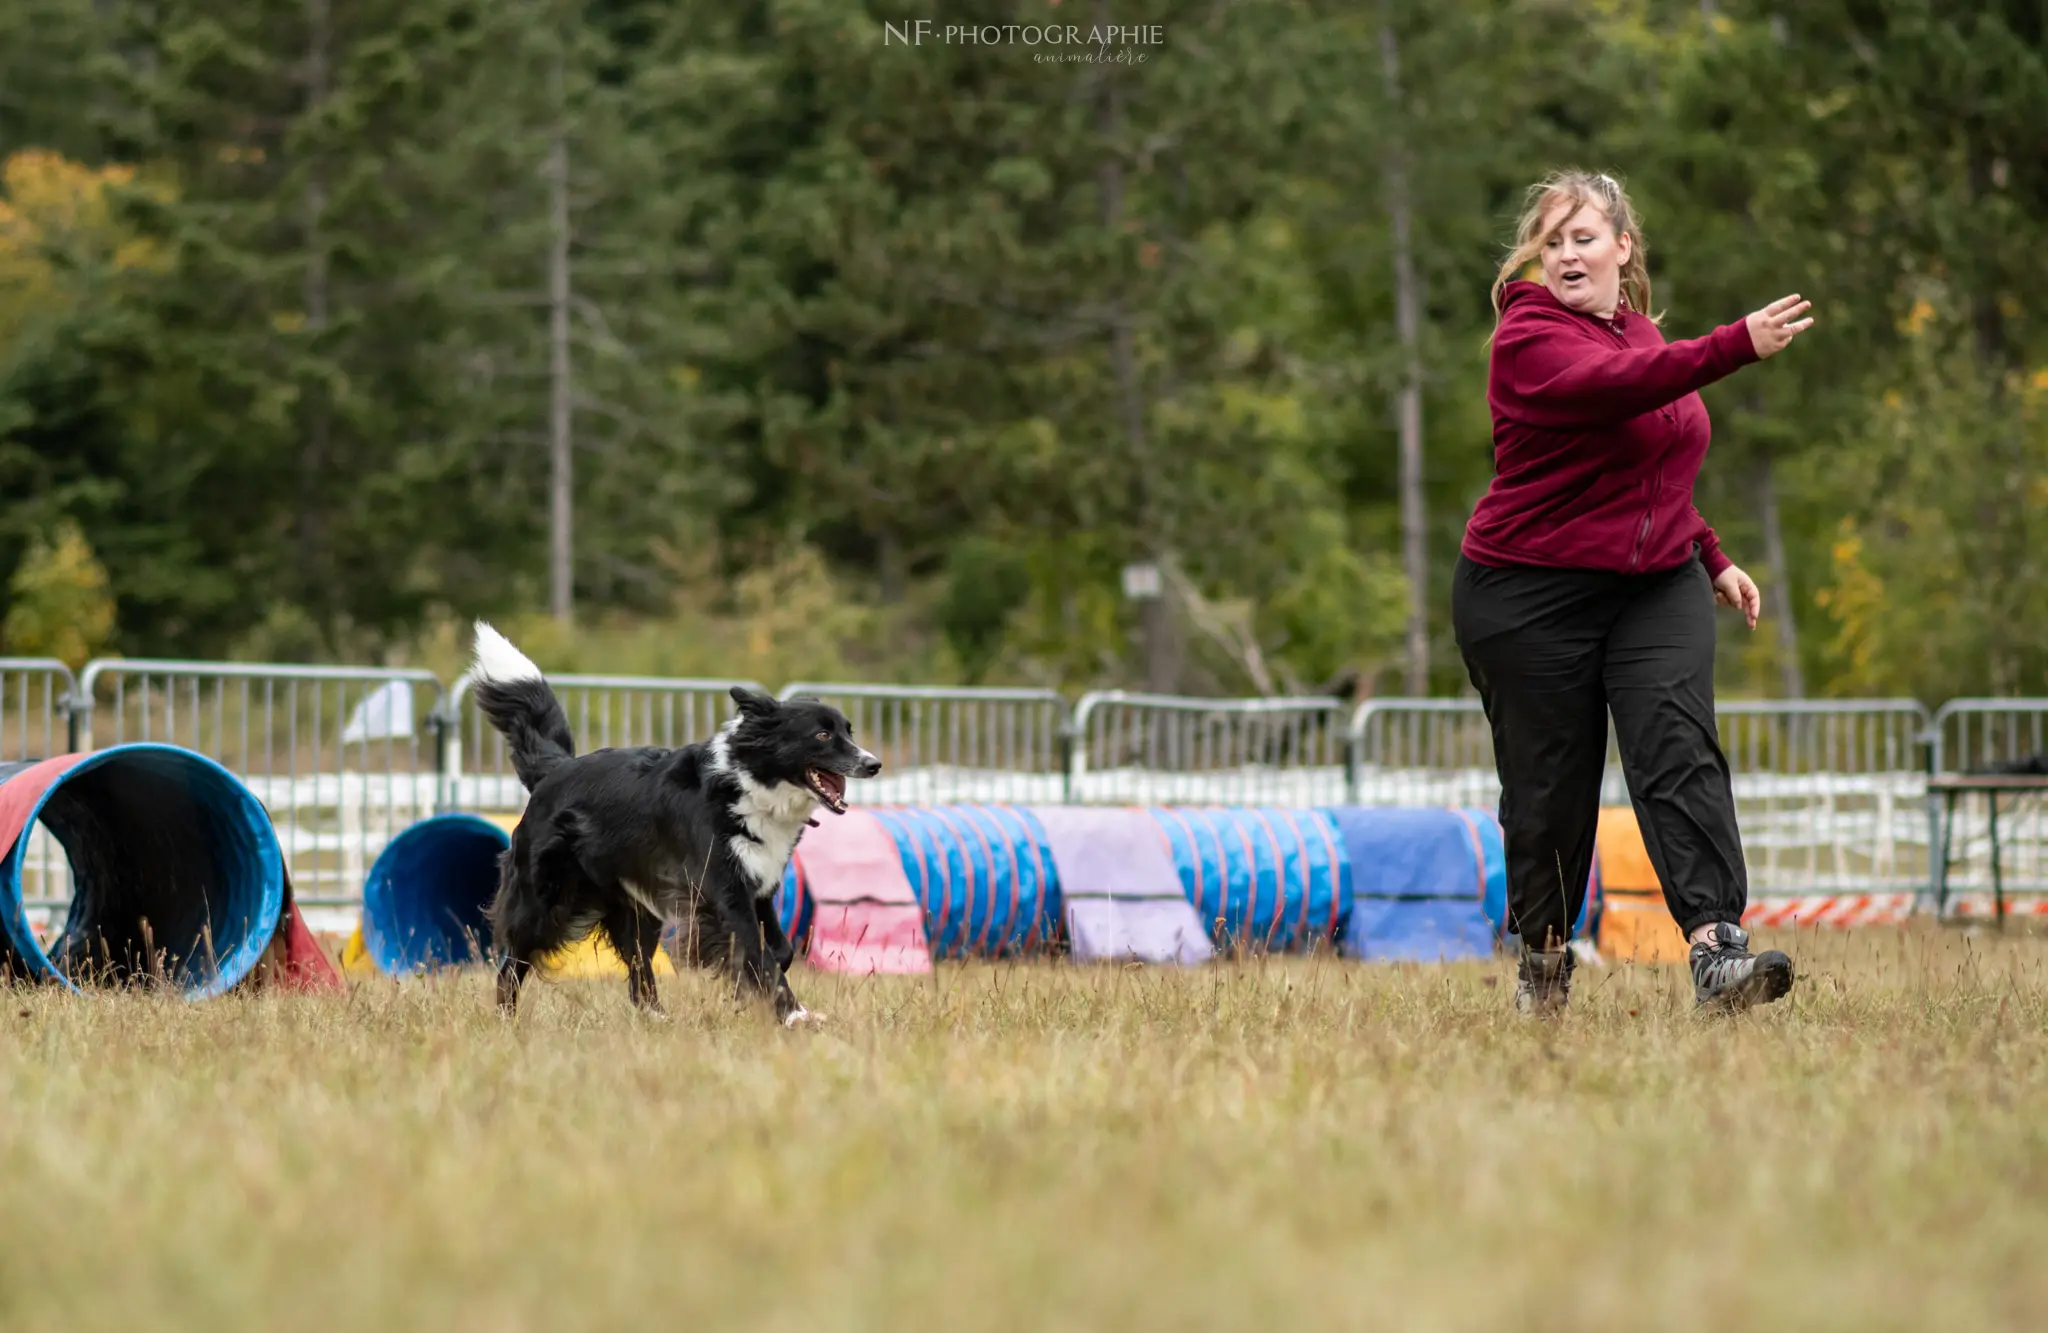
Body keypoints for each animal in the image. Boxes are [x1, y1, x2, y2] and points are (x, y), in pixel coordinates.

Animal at [464, 622, 880, 1023]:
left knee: (637, 961)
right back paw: (506, 1017)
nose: (873, 764)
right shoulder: (722, 891)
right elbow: (756, 951)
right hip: (543, 897)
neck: (750, 786)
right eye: (822, 735)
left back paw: (656, 1016)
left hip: (635, 903)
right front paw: (794, 1015)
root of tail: (556, 770)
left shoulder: (759, 881)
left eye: (848, 731)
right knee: (513, 960)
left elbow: (780, 949)